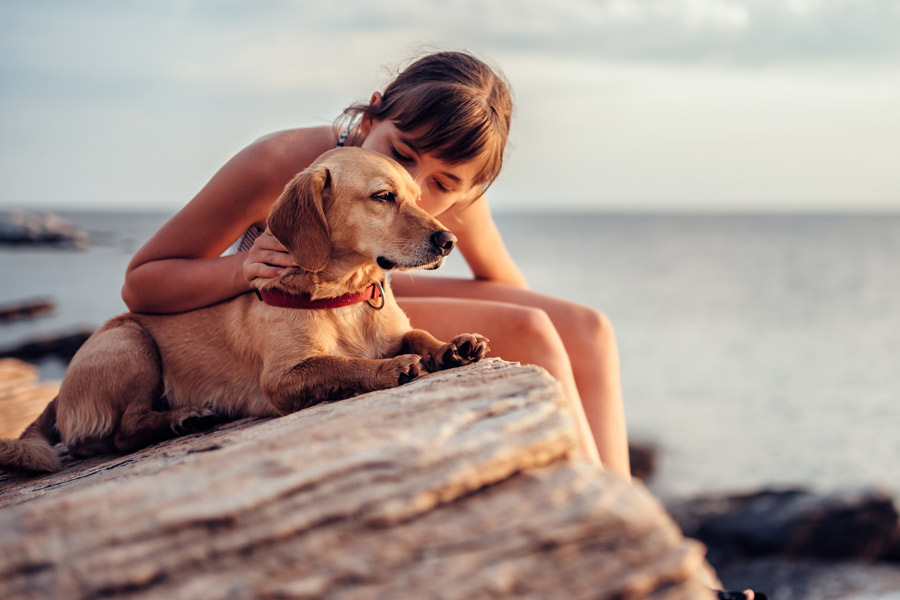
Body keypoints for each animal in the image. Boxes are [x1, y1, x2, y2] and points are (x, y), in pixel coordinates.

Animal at [0, 146, 488, 474]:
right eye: (383, 196)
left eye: (418, 196)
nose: (449, 241)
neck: (344, 295)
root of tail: (58, 395)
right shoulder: (283, 377)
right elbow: (340, 364)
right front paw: (388, 369)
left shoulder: (392, 331)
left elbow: (418, 335)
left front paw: (452, 345)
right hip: (129, 342)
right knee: (124, 429)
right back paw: (182, 417)